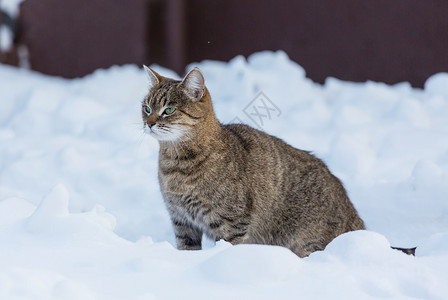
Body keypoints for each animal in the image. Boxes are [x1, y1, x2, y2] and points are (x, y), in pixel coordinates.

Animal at [142, 66, 366, 258]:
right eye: (147, 108)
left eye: (168, 110)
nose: (149, 123)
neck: (175, 164)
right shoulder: (181, 221)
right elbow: (187, 250)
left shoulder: (231, 223)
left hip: (304, 241)